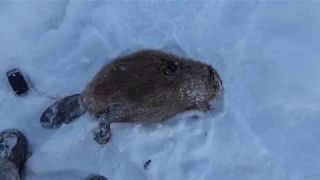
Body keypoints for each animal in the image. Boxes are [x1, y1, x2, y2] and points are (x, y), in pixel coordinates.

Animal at [79, 48, 222, 144]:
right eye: (218, 81)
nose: (221, 89)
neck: (194, 75)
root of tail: (84, 99)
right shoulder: (193, 94)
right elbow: (200, 104)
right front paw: (212, 108)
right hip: (122, 110)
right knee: (104, 118)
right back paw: (102, 137)